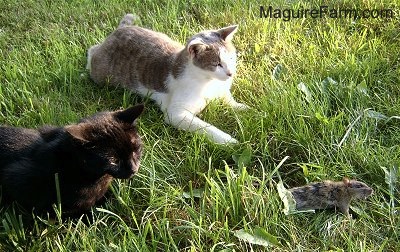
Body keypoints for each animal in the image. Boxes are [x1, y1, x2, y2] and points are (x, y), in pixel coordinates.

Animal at [86, 13, 247, 144]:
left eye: (231, 57)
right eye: (216, 64)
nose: (231, 73)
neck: (208, 82)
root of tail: (118, 30)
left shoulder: (221, 89)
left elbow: (228, 99)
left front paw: (243, 108)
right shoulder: (176, 113)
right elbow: (206, 127)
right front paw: (229, 141)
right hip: (101, 72)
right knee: (92, 49)